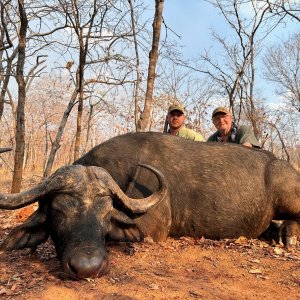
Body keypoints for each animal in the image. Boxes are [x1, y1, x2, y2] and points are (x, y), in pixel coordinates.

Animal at [0, 132, 300, 280]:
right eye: (59, 212)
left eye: (106, 214)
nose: (87, 267)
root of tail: (277, 162)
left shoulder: (151, 229)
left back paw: (289, 235)